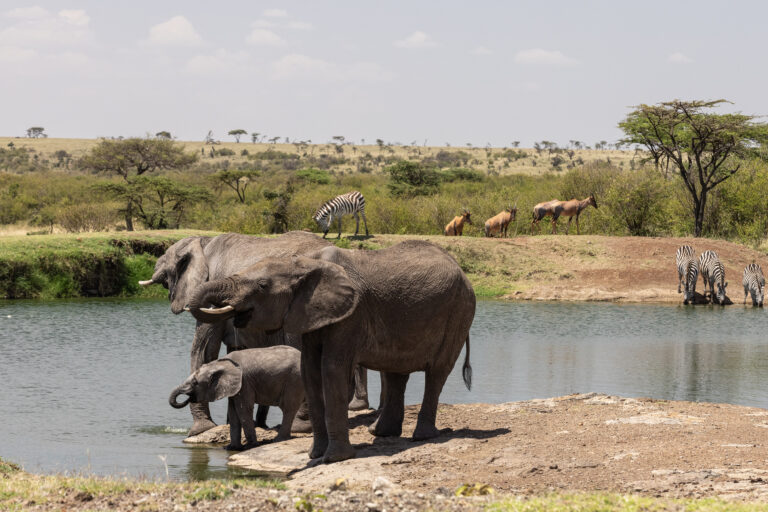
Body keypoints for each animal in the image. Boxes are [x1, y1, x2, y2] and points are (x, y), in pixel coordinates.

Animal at [141, 231, 371, 436]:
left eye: (165, 266)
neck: (202, 242)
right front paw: (250, 424)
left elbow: (204, 350)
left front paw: (201, 430)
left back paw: (301, 426)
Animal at [169, 346, 305, 450]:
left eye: (195, 383)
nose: (189, 397)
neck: (219, 363)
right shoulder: (235, 386)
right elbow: (233, 411)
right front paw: (230, 448)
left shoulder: (244, 382)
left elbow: (243, 409)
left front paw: (250, 447)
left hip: (294, 379)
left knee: (288, 408)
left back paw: (278, 440)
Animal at [188, 240, 475, 464]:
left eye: (261, 285)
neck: (306, 264)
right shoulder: (311, 314)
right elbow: (310, 371)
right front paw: (315, 455)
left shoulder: (351, 314)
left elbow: (331, 369)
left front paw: (334, 458)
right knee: (396, 373)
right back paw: (381, 433)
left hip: (460, 311)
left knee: (437, 372)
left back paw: (423, 436)